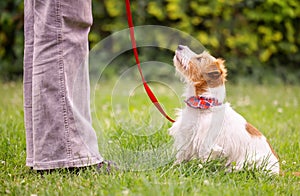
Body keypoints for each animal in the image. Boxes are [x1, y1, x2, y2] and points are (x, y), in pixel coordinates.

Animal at [170, 45, 280, 174]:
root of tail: (279, 171)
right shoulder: (186, 137)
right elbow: (181, 157)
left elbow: (203, 161)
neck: (204, 105)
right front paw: (173, 168)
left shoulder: (207, 145)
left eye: (200, 58)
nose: (180, 46)